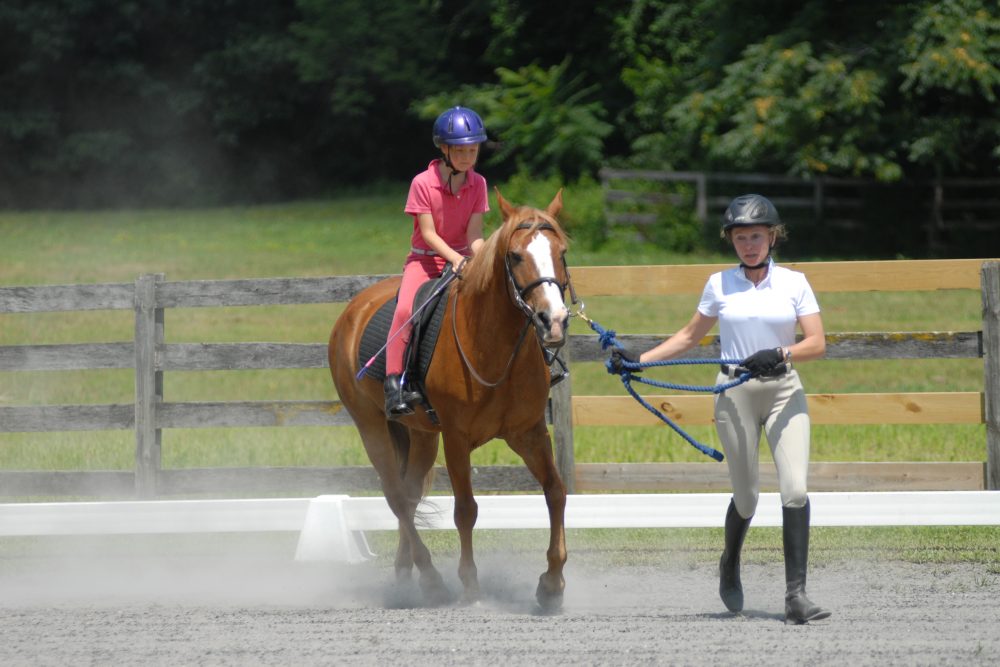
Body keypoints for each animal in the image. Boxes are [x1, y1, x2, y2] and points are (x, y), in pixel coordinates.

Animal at [330, 188, 572, 612]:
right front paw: (470, 586)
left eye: (562, 251)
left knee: (410, 497)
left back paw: (405, 573)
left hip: (422, 435)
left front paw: (552, 584)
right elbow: (466, 510)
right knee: (396, 497)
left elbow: (555, 492)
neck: (492, 342)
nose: (553, 321)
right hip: (372, 427)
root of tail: (352, 311)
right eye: (515, 255)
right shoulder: (457, 439)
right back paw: (431, 579)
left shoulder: (528, 432)